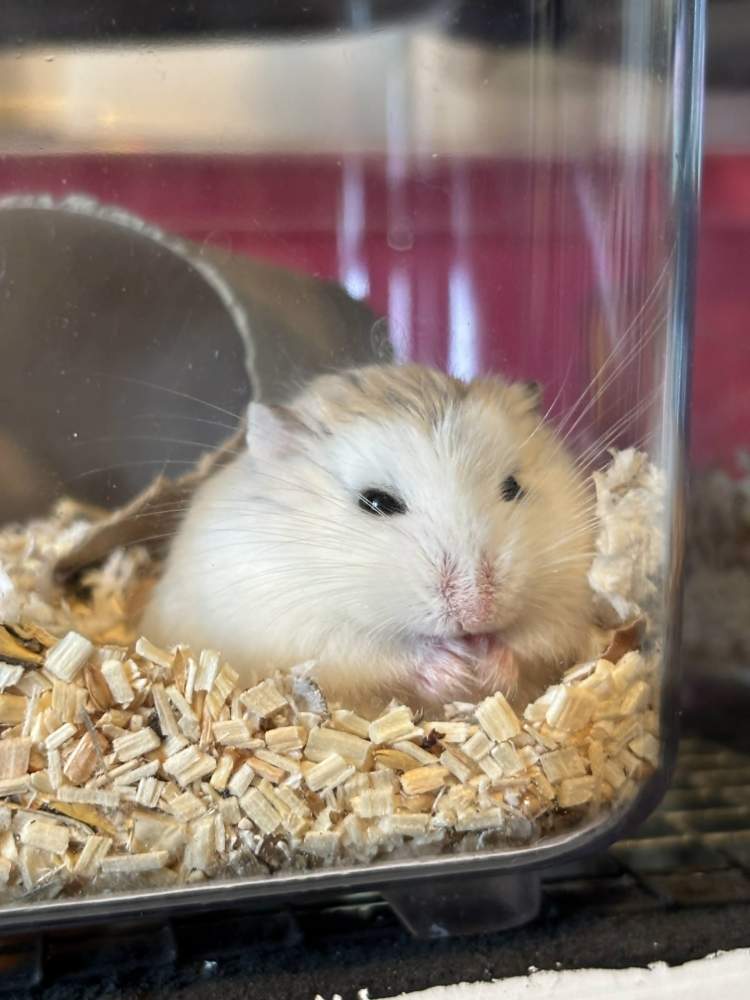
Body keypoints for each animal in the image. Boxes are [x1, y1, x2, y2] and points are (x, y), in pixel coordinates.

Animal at [141, 364, 597, 712]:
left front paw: (490, 664)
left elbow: (534, 641)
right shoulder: (300, 627)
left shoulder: (566, 601)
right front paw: (450, 668)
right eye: (376, 502)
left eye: (513, 488)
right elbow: (374, 654)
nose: (476, 610)